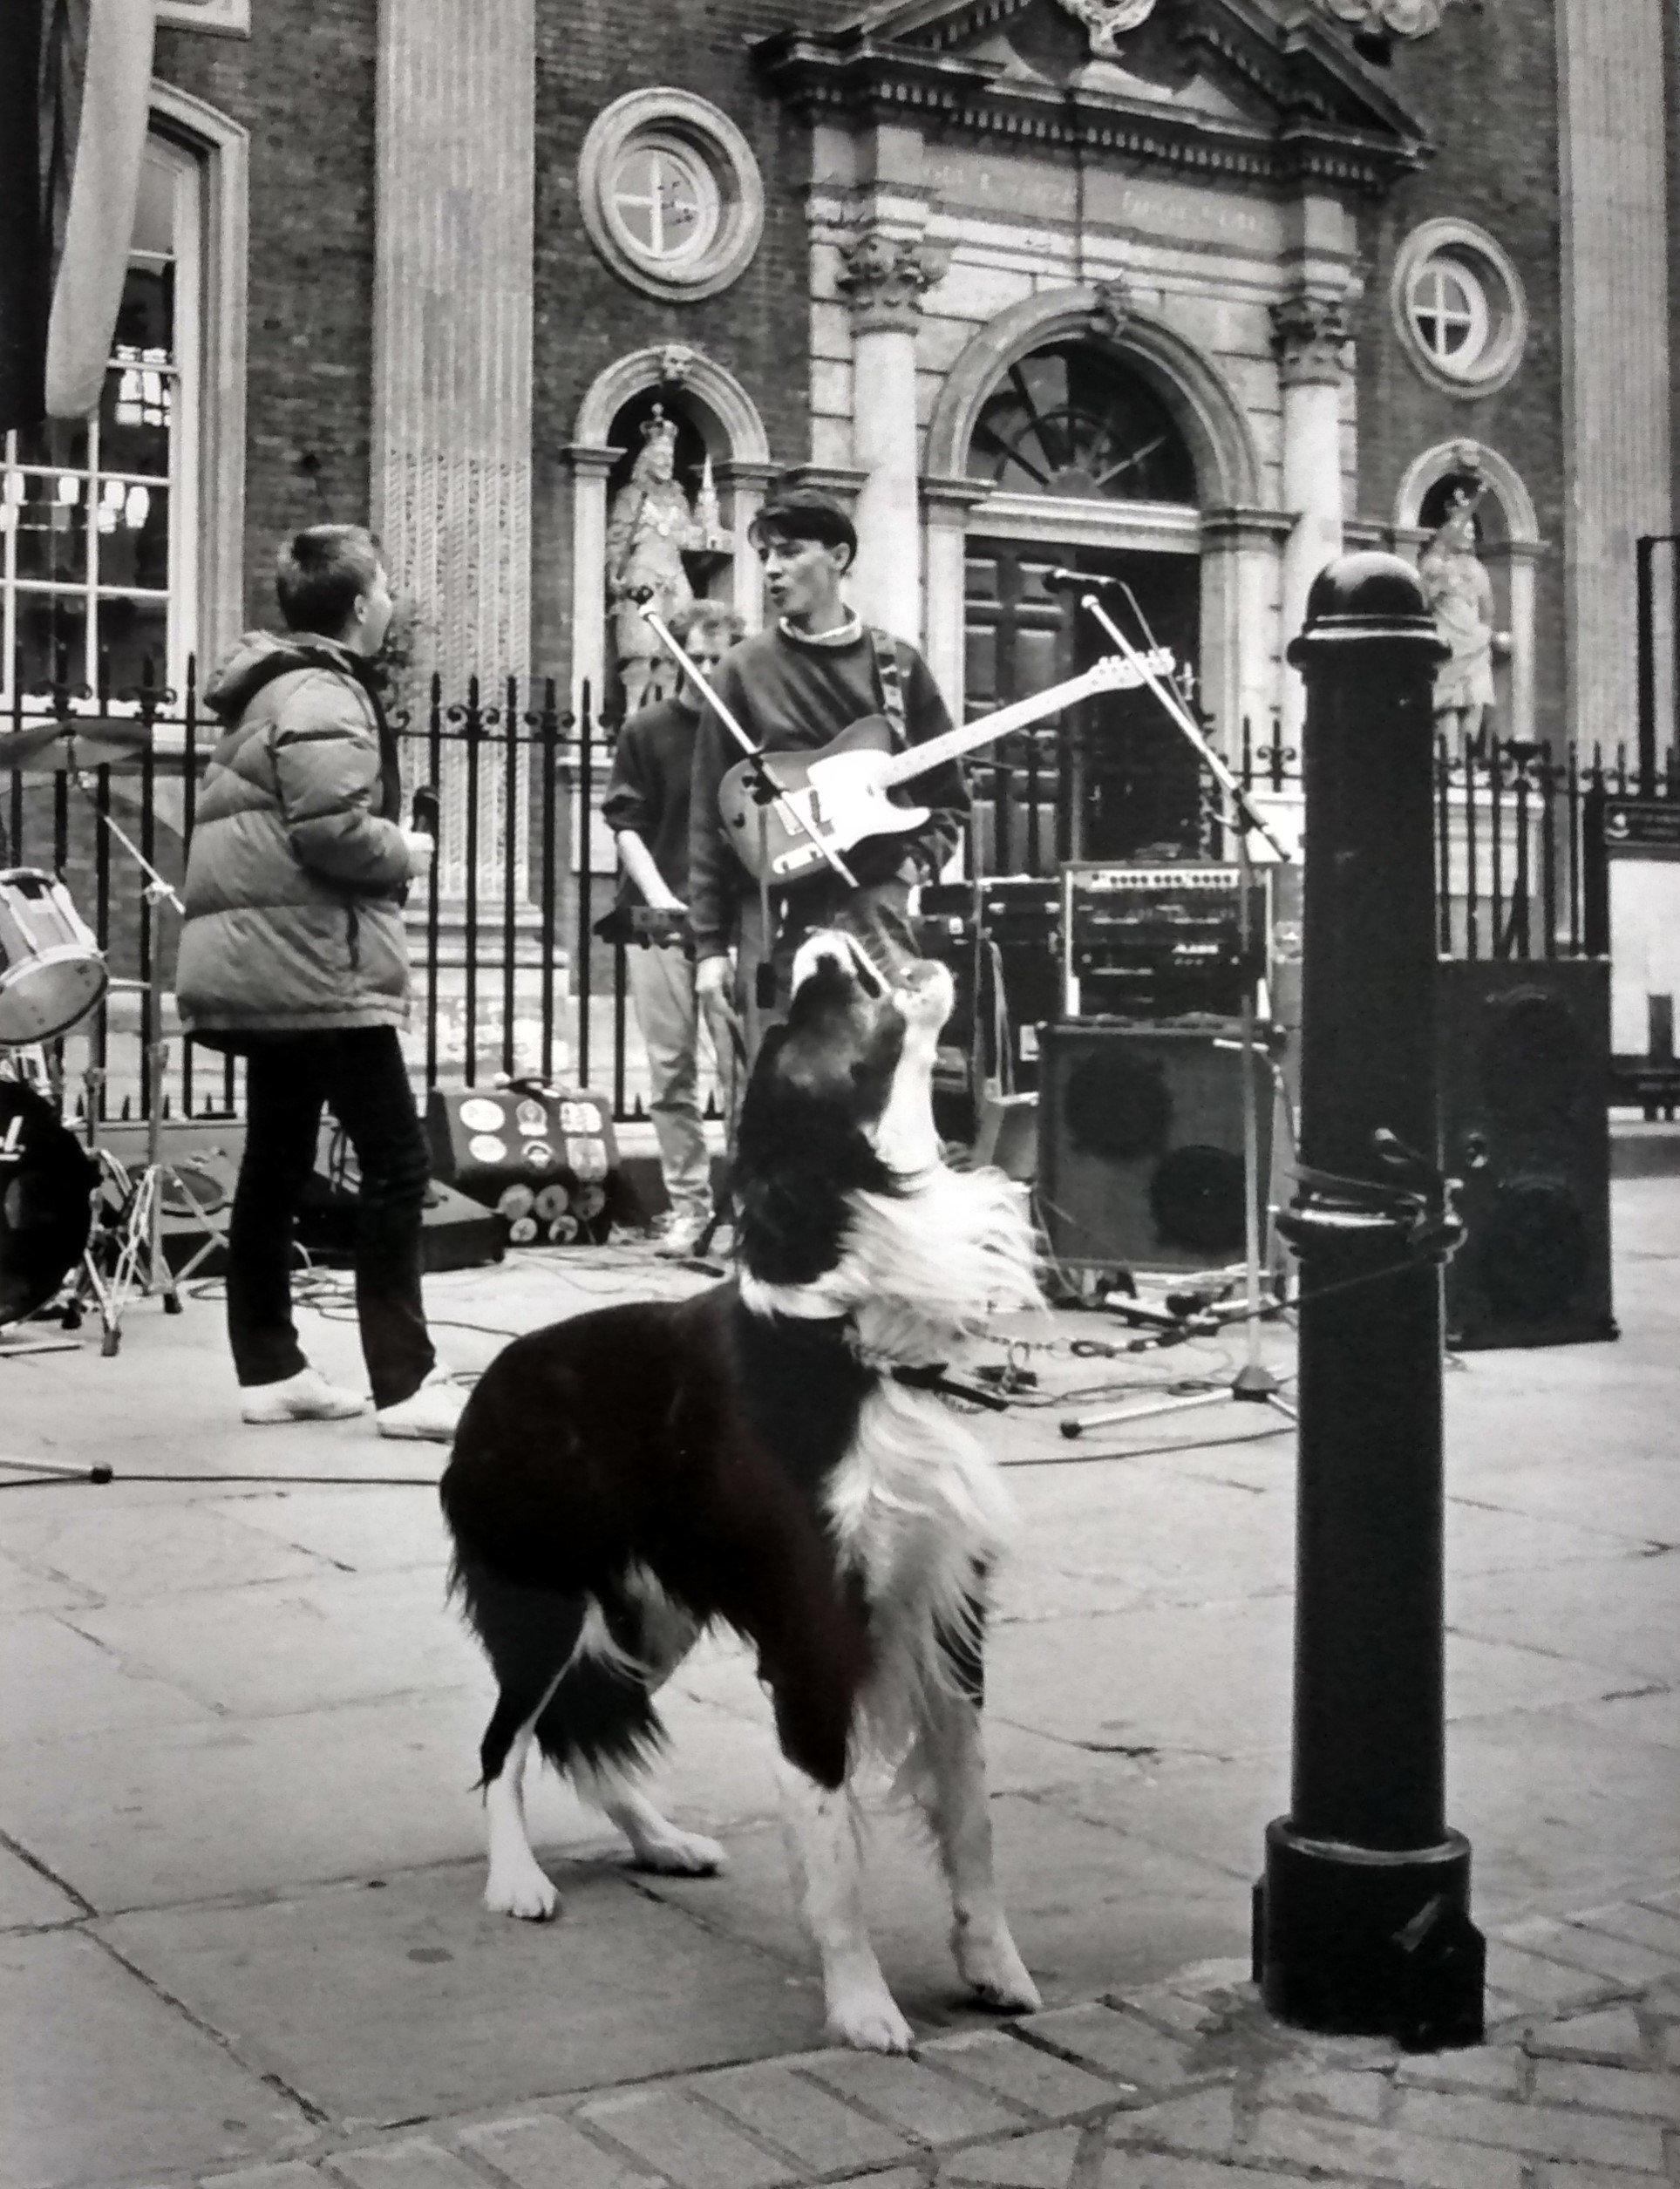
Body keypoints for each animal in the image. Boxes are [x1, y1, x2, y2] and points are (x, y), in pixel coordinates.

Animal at [439, 936, 1042, 2049]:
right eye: (802, 1023)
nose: (817, 947)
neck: (854, 1350)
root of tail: (486, 1385)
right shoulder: (814, 1635)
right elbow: (835, 1850)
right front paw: (862, 2010)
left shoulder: (948, 1615)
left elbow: (972, 1818)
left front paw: (996, 1971)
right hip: (549, 1602)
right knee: (508, 1739)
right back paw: (517, 1881)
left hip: (652, 1614)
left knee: (585, 1723)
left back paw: (661, 1840)